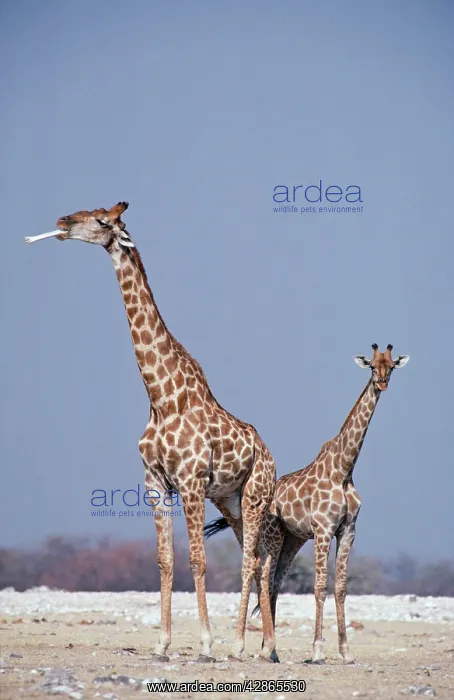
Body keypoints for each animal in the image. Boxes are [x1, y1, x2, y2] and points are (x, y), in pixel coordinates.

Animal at [32, 202, 277, 662]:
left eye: (103, 221)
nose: (62, 223)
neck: (162, 398)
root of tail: (270, 455)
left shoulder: (191, 481)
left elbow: (198, 559)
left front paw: (205, 643)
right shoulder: (155, 482)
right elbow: (165, 560)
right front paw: (162, 644)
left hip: (254, 494)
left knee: (252, 559)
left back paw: (239, 644)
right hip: (230, 501)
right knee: (260, 558)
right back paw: (268, 647)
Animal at [205, 344, 410, 663]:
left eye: (390, 366)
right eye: (371, 366)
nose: (382, 383)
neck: (343, 469)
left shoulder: (348, 530)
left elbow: (340, 587)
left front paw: (346, 652)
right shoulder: (324, 529)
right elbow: (320, 587)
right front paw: (317, 651)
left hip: (294, 539)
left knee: (276, 581)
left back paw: (270, 650)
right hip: (273, 534)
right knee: (265, 577)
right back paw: (266, 649)